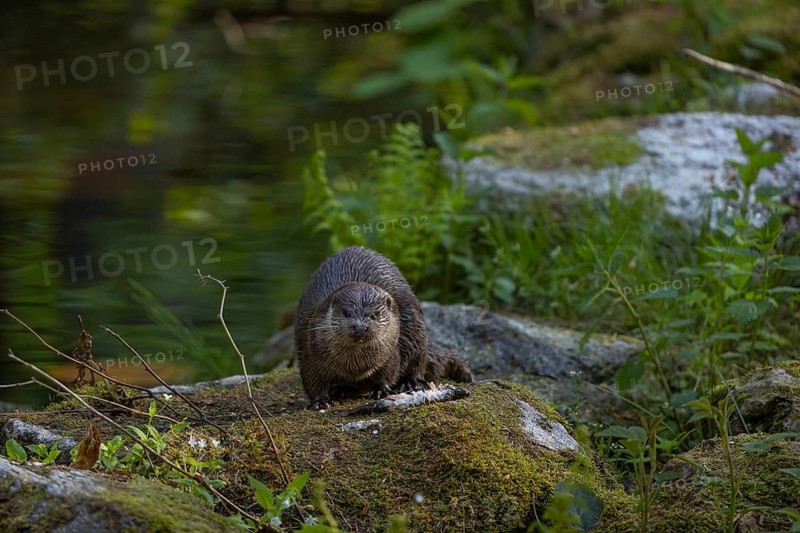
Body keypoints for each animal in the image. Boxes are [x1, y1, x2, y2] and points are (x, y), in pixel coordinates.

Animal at [294, 246, 472, 409]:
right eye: (346, 313)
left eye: (374, 314)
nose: (360, 327)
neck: (355, 366)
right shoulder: (312, 352)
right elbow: (312, 379)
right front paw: (321, 401)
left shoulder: (390, 352)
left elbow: (388, 371)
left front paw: (382, 390)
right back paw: (341, 389)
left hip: (417, 331)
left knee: (418, 361)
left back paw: (409, 383)